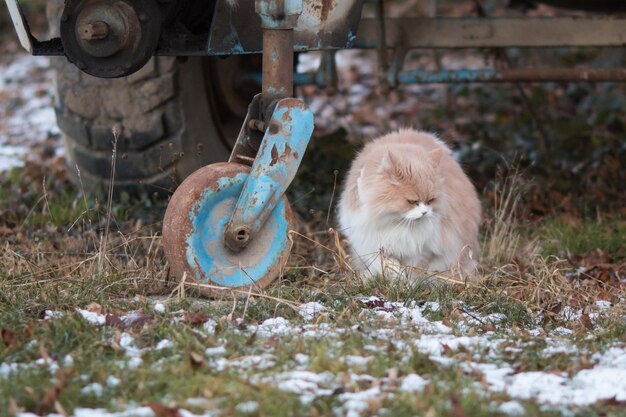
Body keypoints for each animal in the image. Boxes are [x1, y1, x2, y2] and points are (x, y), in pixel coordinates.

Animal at [338, 128, 480, 282]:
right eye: (412, 202)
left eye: (430, 201)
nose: (424, 213)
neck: (395, 223)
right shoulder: (369, 242)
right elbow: (386, 264)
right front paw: (394, 276)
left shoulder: (422, 250)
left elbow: (412, 271)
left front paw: (407, 283)